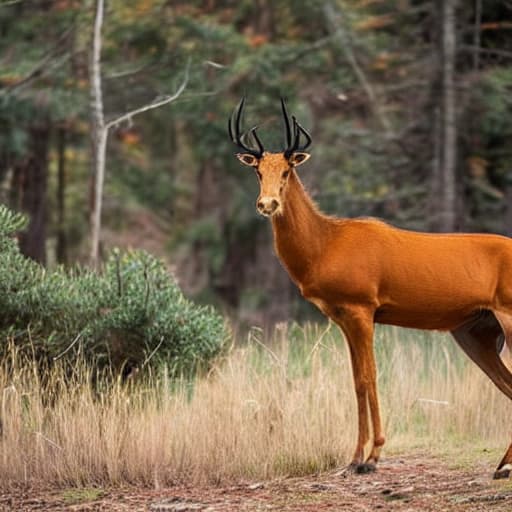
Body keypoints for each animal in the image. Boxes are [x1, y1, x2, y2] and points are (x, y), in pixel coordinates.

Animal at [229, 97, 512, 480]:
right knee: (505, 383)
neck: (325, 246)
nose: (267, 204)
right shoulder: (343, 317)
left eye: (286, 171)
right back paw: (502, 465)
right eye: (258, 171)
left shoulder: (362, 307)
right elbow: (356, 381)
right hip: (473, 331)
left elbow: (369, 377)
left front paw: (372, 457)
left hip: (506, 315)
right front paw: (353, 458)